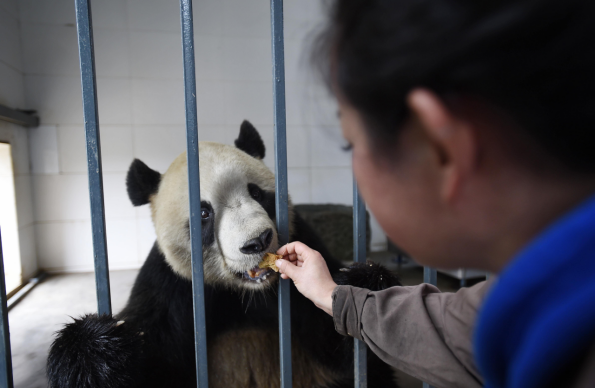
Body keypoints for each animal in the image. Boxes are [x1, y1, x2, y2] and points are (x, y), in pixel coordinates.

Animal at [46, 120, 400, 384]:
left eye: (257, 193)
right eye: (204, 213)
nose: (258, 241)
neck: (245, 294)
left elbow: (343, 351)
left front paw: (364, 284)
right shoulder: (172, 286)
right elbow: (151, 360)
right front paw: (98, 347)